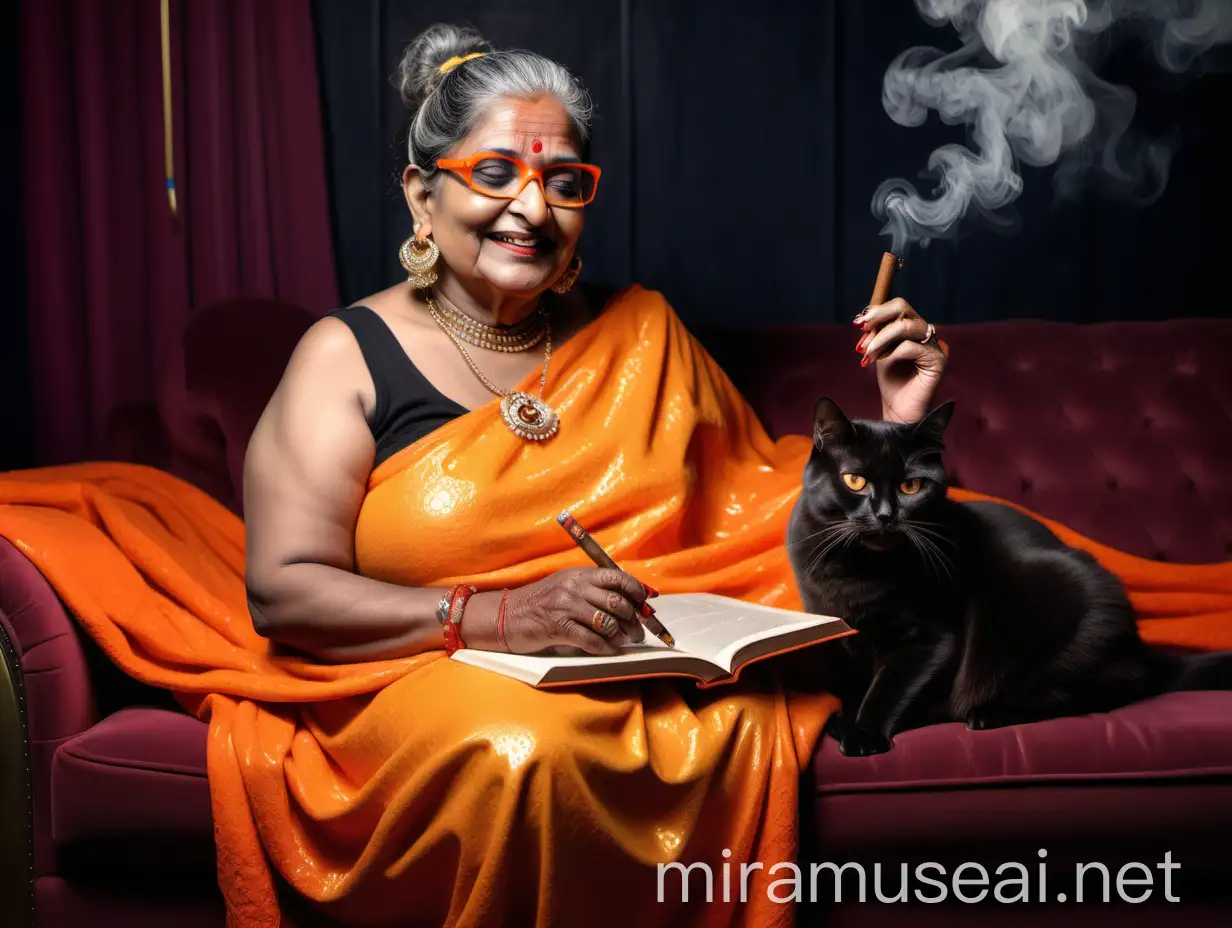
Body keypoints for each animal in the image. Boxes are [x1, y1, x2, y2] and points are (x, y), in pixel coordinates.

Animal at [788, 394, 1232, 754]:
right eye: (854, 480)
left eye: (911, 486)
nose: (884, 515)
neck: (857, 572)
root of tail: (1138, 648)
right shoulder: (838, 641)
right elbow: (853, 684)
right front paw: (846, 718)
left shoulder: (929, 641)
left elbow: (889, 688)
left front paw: (863, 733)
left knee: (1099, 690)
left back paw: (987, 713)